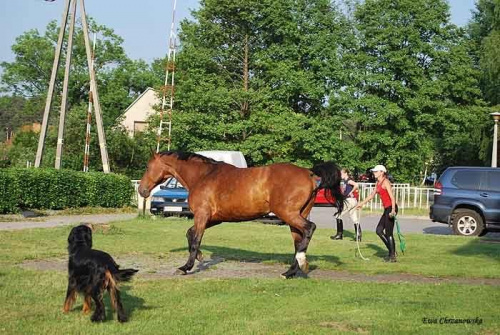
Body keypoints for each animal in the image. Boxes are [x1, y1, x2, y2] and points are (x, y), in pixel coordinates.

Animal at [139, 152, 346, 278]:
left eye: (148, 167)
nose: (142, 191)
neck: (203, 176)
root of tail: (309, 173)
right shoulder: (214, 218)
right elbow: (190, 233)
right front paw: (199, 257)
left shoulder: (202, 215)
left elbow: (196, 238)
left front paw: (186, 267)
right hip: (296, 215)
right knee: (299, 240)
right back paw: (290, 272)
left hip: (288, 214)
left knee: (309, 229)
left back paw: (300, 264)